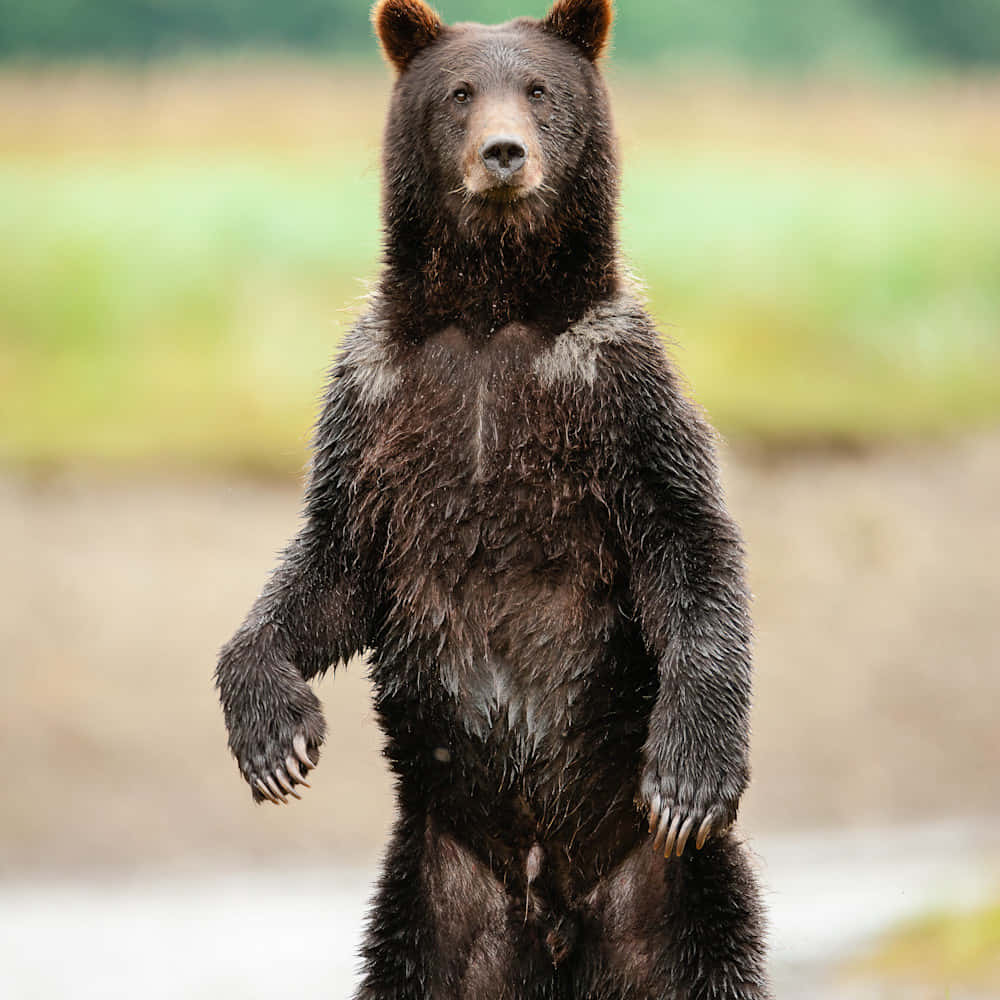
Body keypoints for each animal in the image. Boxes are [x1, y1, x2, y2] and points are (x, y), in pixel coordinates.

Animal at [215, 0, 769, 997]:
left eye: (540, 89)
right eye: (461, 92)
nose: (504, 152)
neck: (489, 313)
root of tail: (553, 915)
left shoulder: (613, 387)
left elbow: (689, 543)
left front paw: (690, 775)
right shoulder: (377, 402)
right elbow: (327, 563)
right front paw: (274, 735)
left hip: (671, 896)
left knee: (706, 960)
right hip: (437, 900)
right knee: (412, 964)